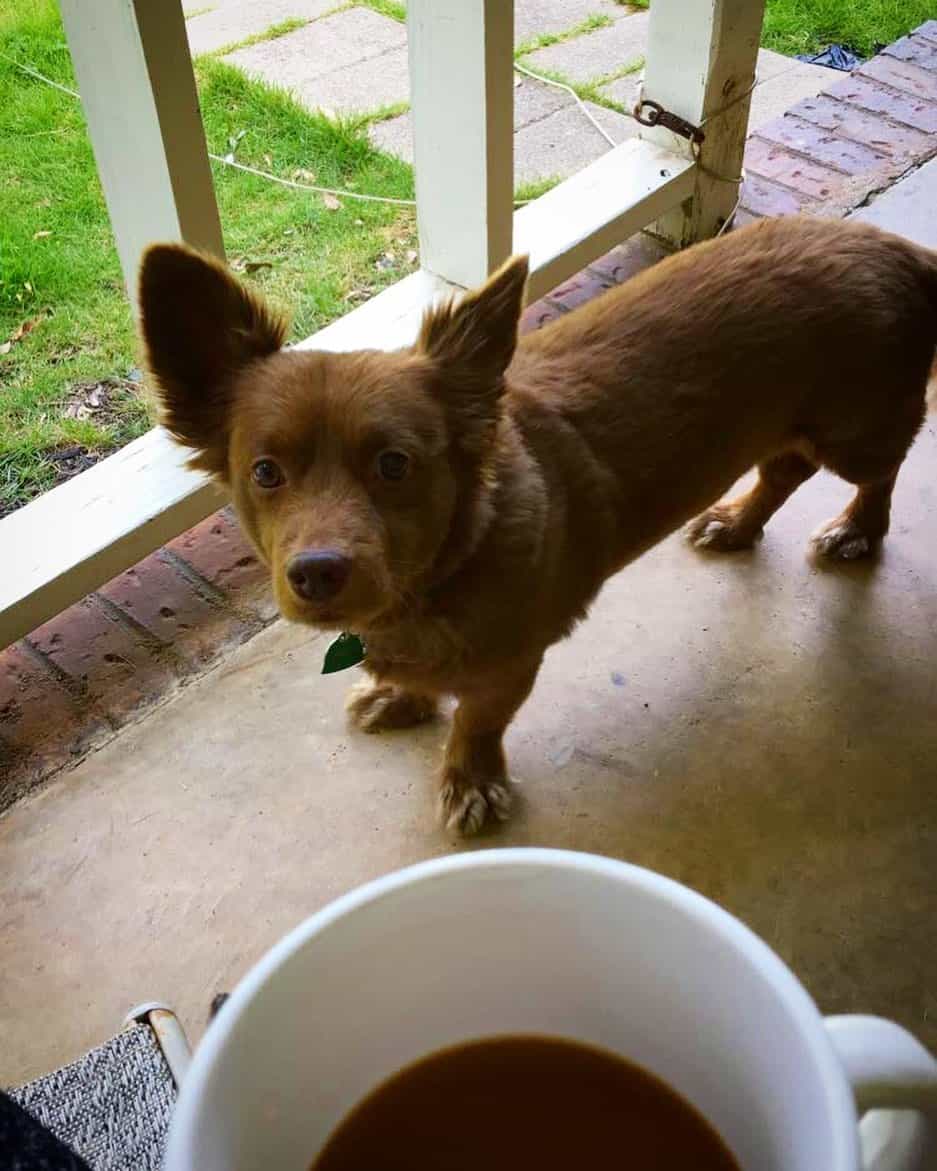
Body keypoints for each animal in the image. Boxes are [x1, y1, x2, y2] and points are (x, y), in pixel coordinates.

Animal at [139, 217, 937, 833]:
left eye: (395, 464)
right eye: (266, 472)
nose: (317, 574)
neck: (441, 576)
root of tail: (902, 249)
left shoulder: (511, 667)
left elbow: (474, 724)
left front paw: (468, 783)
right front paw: (406, 696)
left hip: (855, 433)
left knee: (882, 469)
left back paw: (857, 530)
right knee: (783, 470)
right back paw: (740, 524)